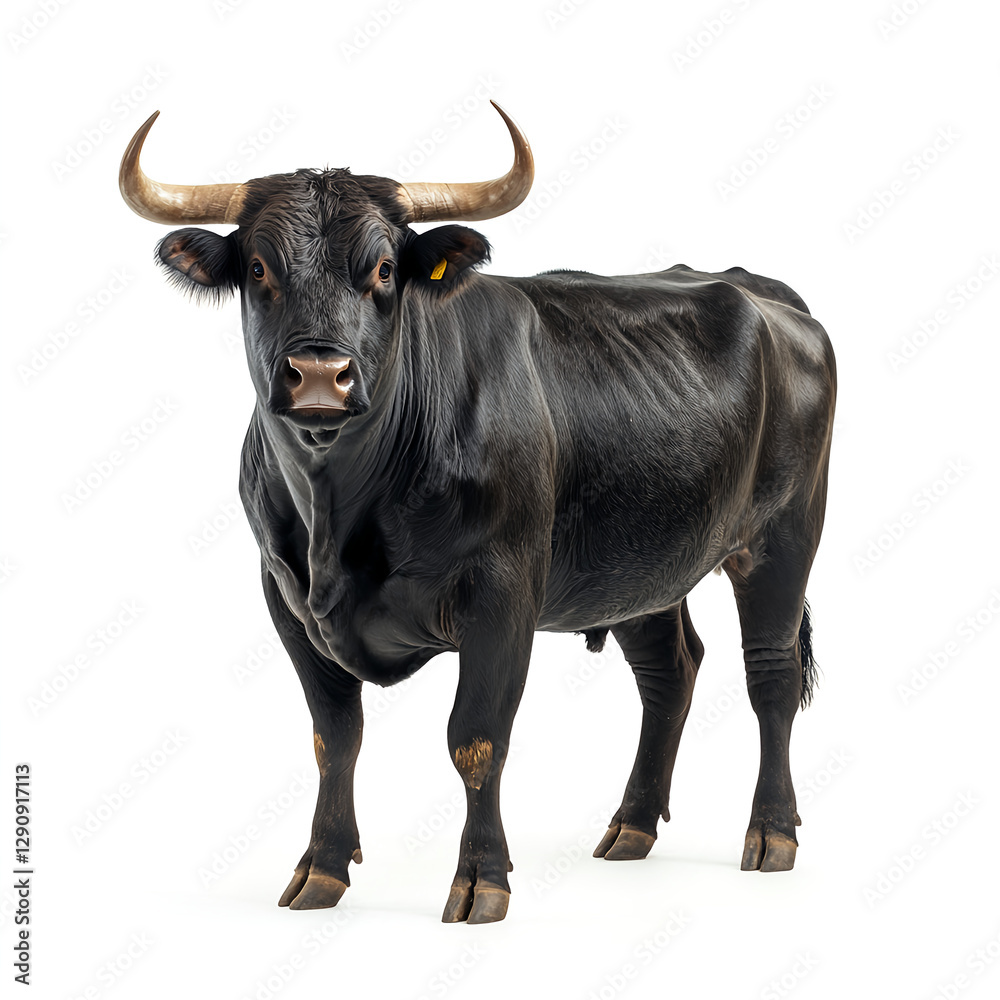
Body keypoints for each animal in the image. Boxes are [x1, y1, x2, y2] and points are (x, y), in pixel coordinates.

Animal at [119, 103, 835, 924]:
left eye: (385, 269)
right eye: (260, 269)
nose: (321, 376)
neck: (337, 514)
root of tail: (761, 288)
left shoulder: (503, 593)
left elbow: (477, 738)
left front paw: (481, 878)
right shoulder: (284, 596)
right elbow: (335, 738)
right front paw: (321, 868)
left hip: (783, 538)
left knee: (770, 677)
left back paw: (771, 834)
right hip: (642, 561)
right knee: (669, 671)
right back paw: (630, 826)